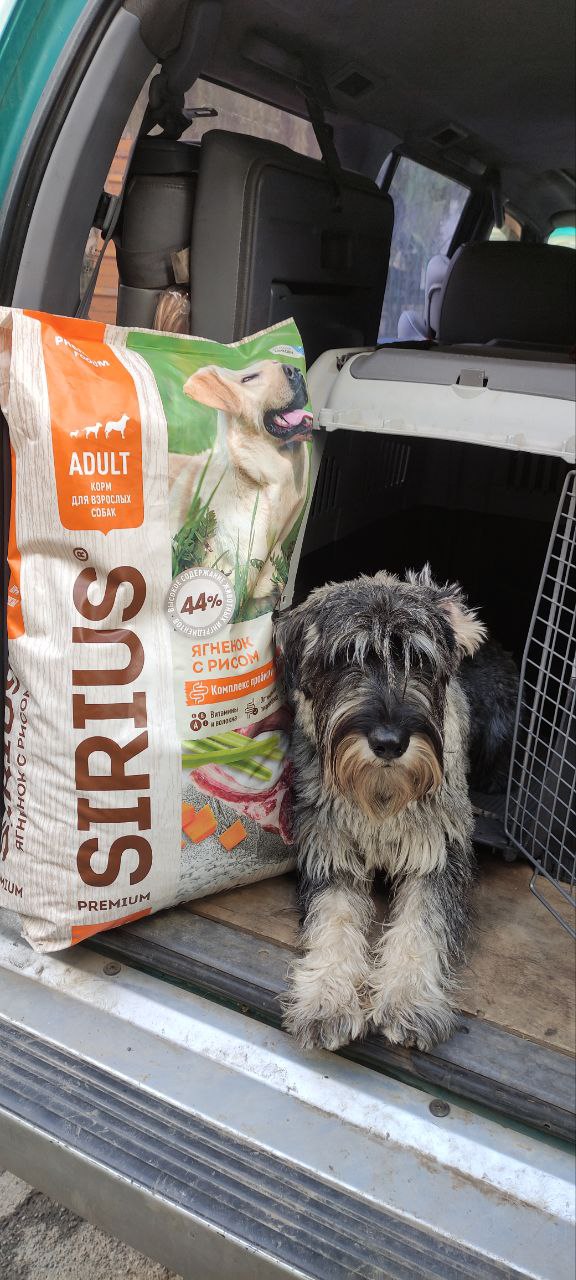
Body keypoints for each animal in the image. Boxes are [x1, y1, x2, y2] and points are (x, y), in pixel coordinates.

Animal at [273, 566, 514, 1053]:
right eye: (344, 658)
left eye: (420, 661)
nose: (389, 742)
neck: (381, 796)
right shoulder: (332, 855)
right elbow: (334, 921)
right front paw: (325, 1000)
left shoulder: (437, 857)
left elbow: (422, 923)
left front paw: (408, 1000)